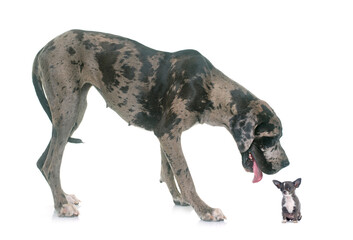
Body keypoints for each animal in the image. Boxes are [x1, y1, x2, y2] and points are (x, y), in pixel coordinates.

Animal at [31, 30, 288, 221]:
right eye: (271, 138)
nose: (286, 164)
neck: (208, 85)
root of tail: (45, 46)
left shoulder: (165, 135)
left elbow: (168, 170)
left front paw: (179, 198)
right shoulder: (169, 134)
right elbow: (185, 175)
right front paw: (204, 209)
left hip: (74, 113)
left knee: (43, 161)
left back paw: (63, 197)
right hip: (67, 112)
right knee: (52, 164)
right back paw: (62, 206)